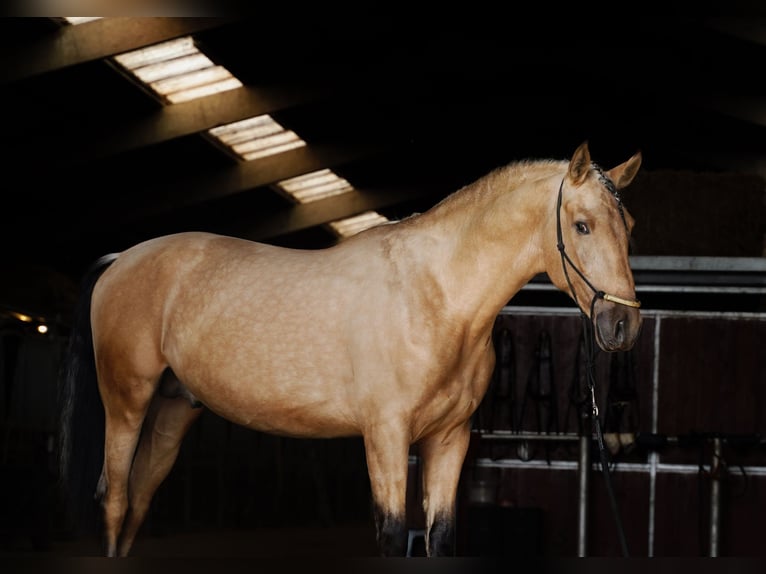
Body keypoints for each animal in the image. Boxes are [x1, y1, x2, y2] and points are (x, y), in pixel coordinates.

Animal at [60, 141, 644, 560]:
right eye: (582, 225)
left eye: (630, 227)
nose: (622, 324)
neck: (435, 294)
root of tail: (121, 259)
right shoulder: (386, 437)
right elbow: (391, 534)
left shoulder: (449, 440)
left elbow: (440, 537)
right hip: (126, 403)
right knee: (115, 498)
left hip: (172, 411)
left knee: (137, 500)